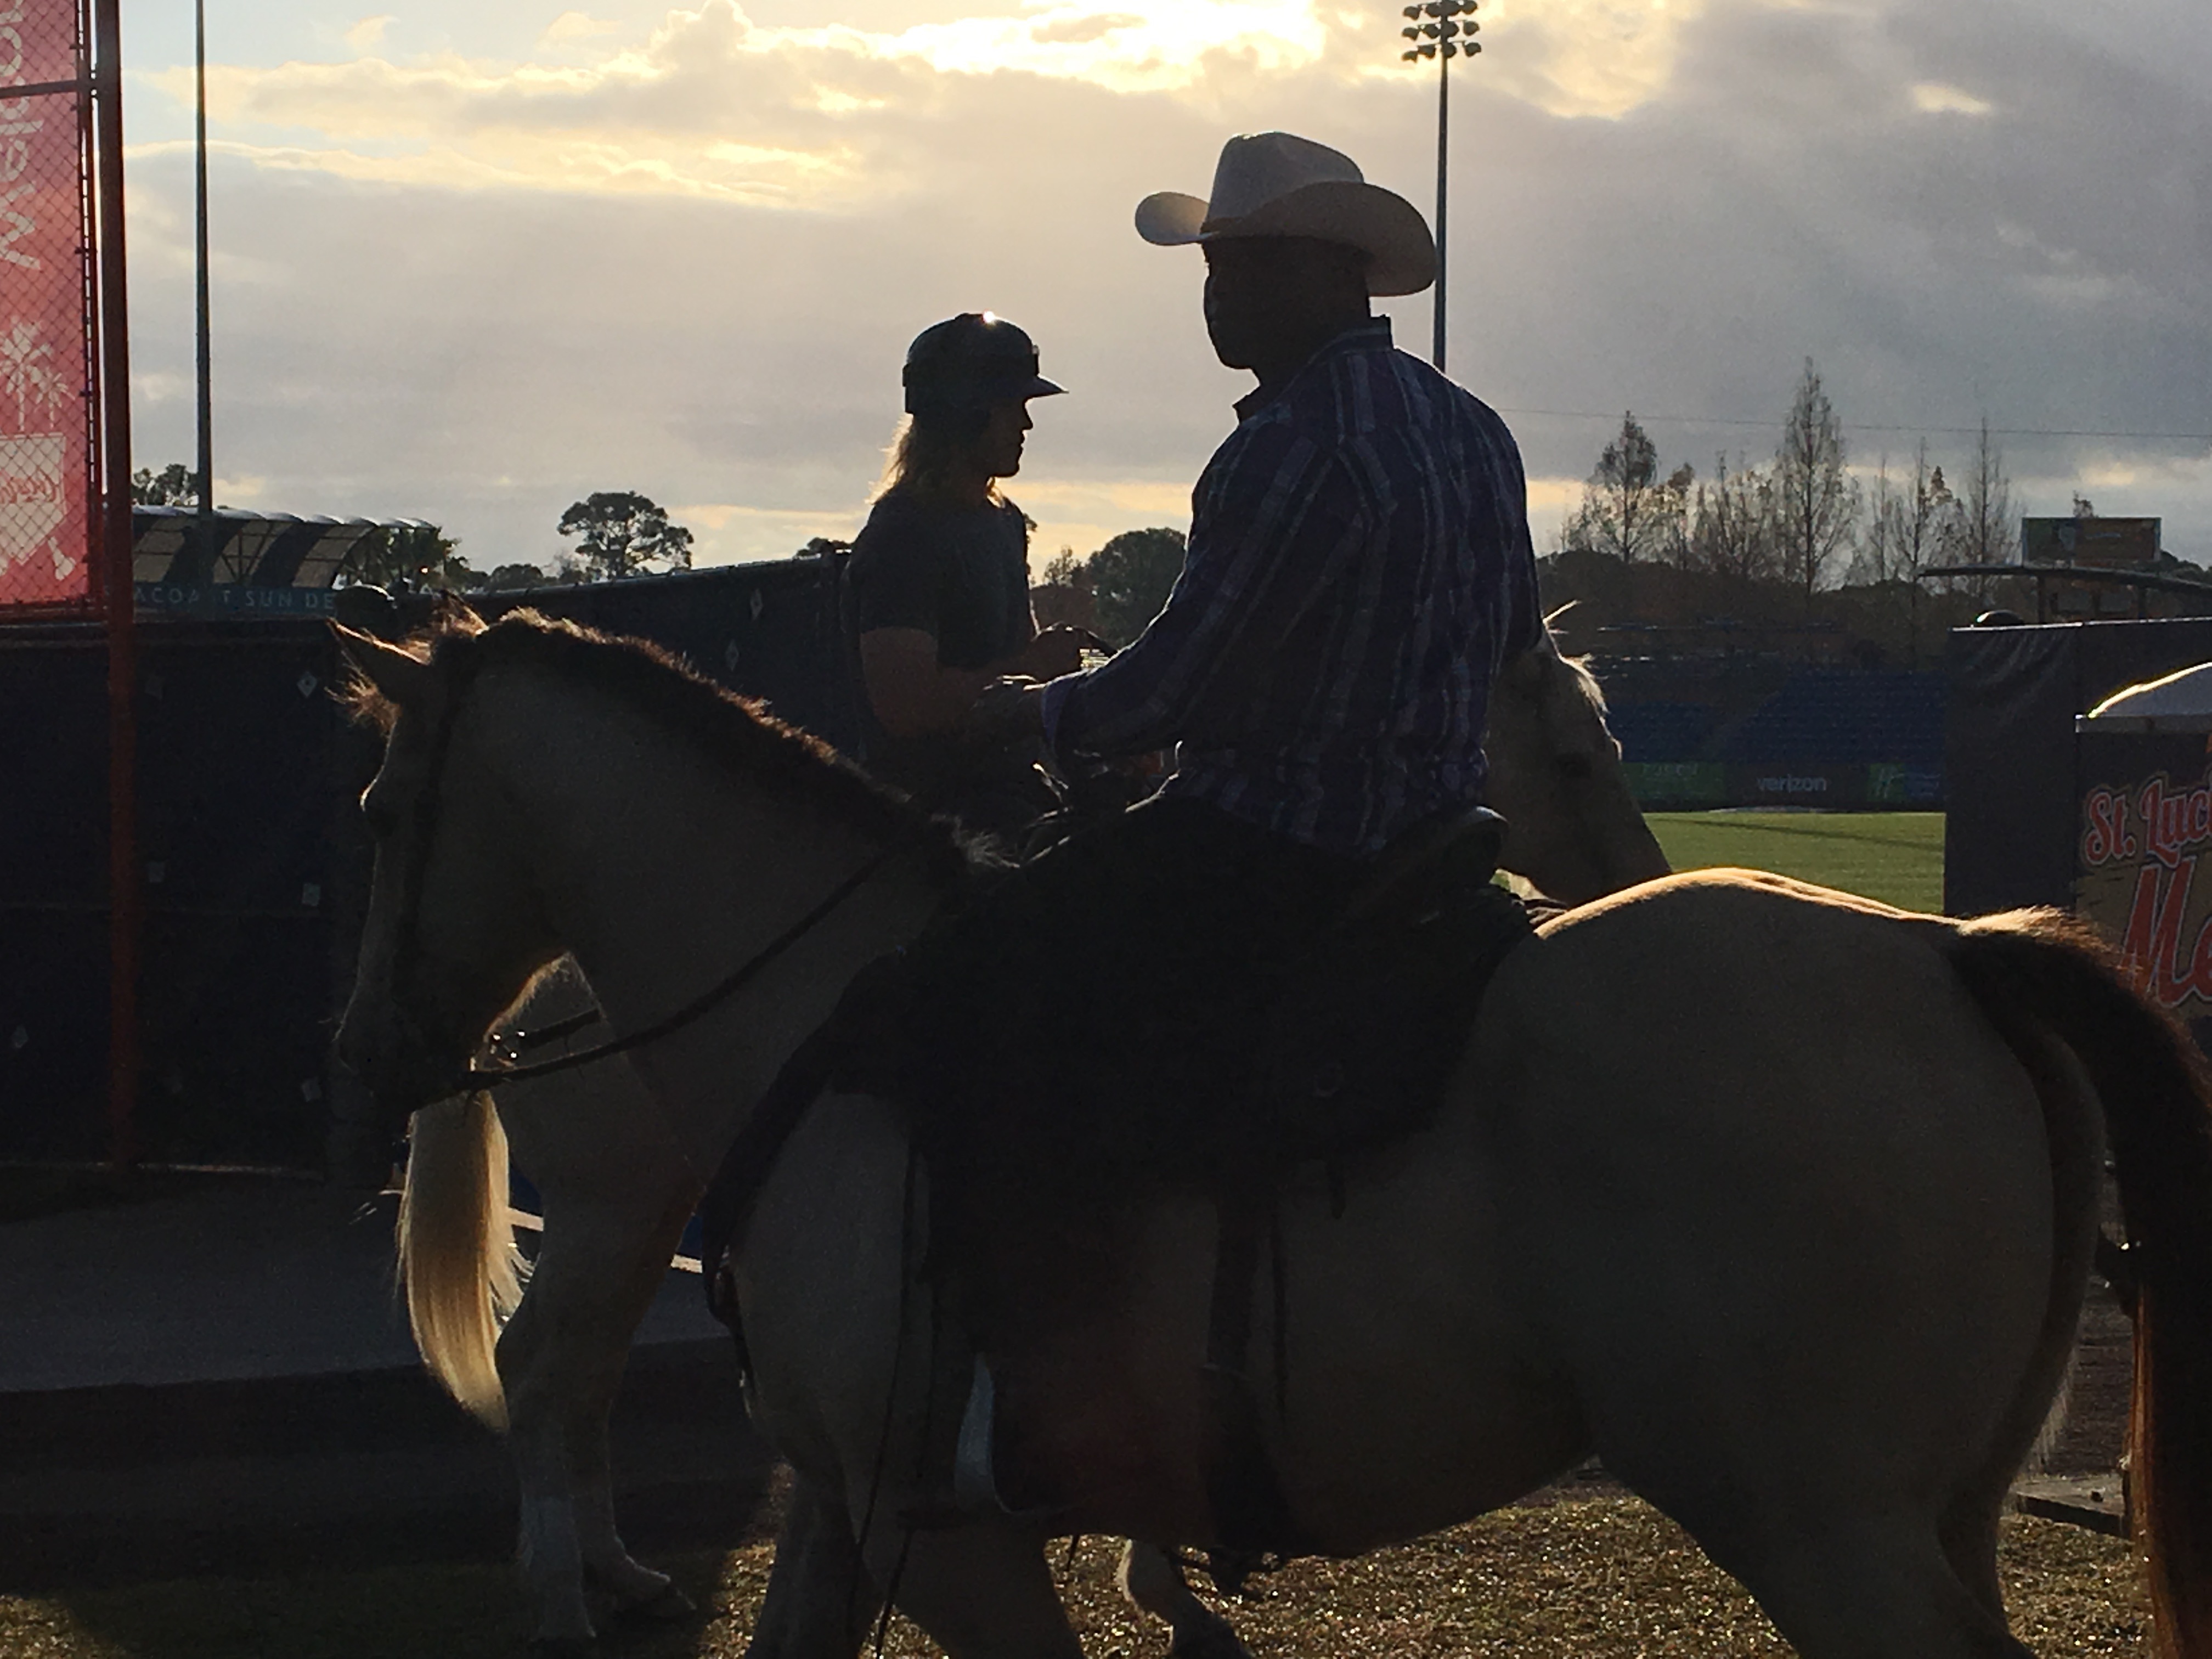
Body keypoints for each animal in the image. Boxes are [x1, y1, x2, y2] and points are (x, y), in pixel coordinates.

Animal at [331, 610, 2212, 1659]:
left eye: (378, 804)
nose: (376, 1049)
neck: (824, 1012)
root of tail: (1954, 955)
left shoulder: (941, 1532)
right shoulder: (853, 1511)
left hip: (1830, 1527)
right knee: (558, 1364)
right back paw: (587, 1576)